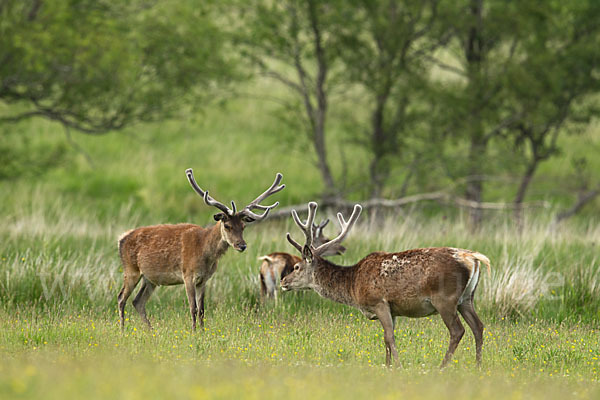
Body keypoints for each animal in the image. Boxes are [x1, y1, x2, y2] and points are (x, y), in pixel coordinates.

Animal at [119, 168, 286, 332]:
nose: (242, 245)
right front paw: (193, 332)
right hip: (131, 270)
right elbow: (193, 308)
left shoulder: (203, 279)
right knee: (121, 298)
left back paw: (151, 330)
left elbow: (202, 310)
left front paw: (203, 332)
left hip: (150, 279)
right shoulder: (187, 275)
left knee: (137, 301)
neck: (204, 251)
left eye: (243, 226)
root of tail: (121, 238)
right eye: (227, 226)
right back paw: (122, 330)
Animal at [280, 202, 488, 368]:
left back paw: (442, 367)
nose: (283, 281)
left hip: (445, 298)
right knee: (478, 326)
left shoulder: (378, 302)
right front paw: (387, 367)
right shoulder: (392, 309)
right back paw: (478, 366)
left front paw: (398, 366)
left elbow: (389, 336)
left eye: (297, 267)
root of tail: (473, 258)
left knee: (457, 330)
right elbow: (386, 338)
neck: (353, 285)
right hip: (466, 298)